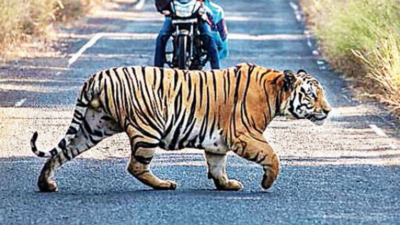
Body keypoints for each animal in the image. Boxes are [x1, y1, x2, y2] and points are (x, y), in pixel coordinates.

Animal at [30, 62, 332, 192]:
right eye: (311, 95)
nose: (328, 110)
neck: (275, 92)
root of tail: (97, 76)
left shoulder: (218, 141)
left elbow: (217, 164)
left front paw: (226, 184)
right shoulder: (244, 134)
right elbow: (272, 155)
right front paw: (266, 182)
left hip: (92, 127)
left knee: (61, 153)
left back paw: (46, 184)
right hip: (147, 128)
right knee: (136, 166)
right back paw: (165, 184)